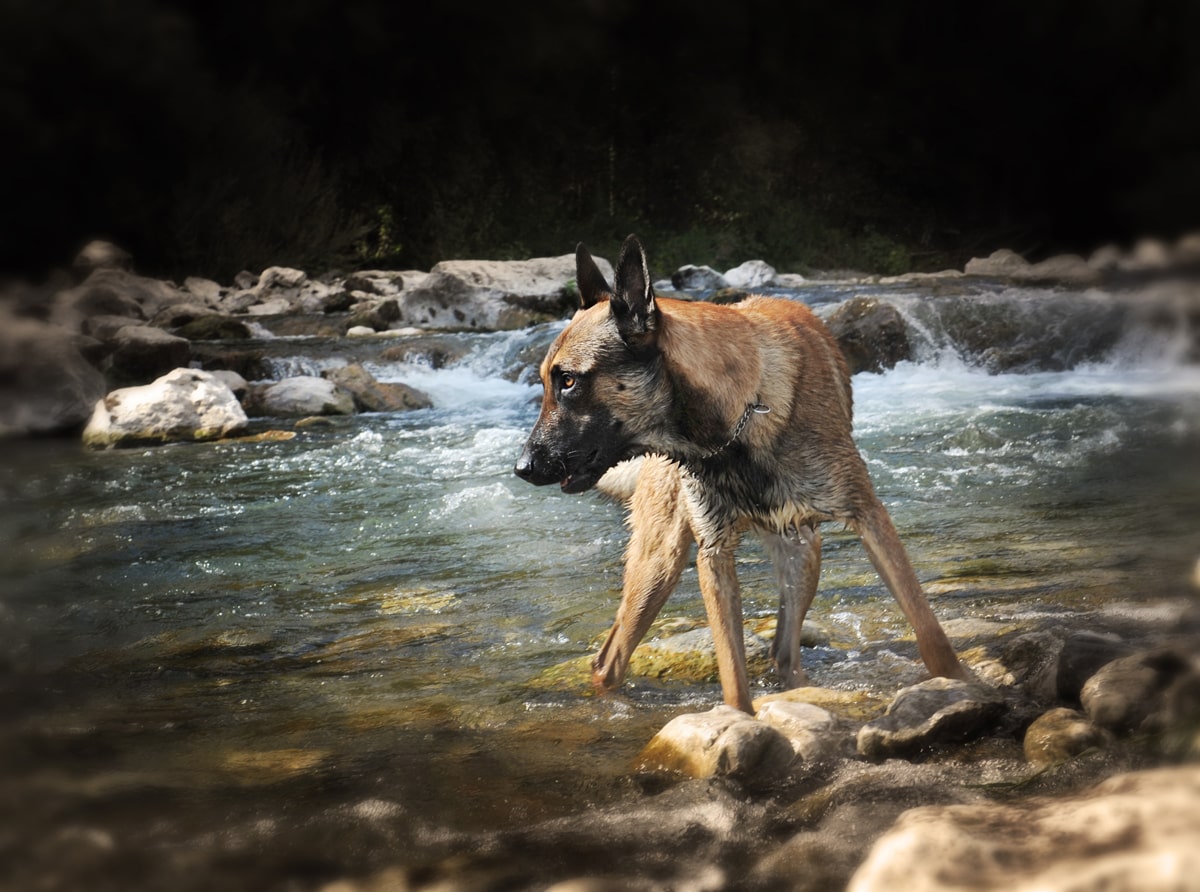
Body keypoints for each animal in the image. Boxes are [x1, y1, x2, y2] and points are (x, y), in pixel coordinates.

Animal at [513, 235, 964, 710]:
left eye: (568, 381)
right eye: (547, 382)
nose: (522, 468)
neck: (736, 427)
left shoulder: (869, 515)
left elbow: (930, 631)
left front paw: (958, 684)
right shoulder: (714, 556)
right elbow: (733, 675)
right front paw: (740, 719)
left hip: (803, 554)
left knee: (784, 653)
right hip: (661, 564)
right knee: (609, 659)